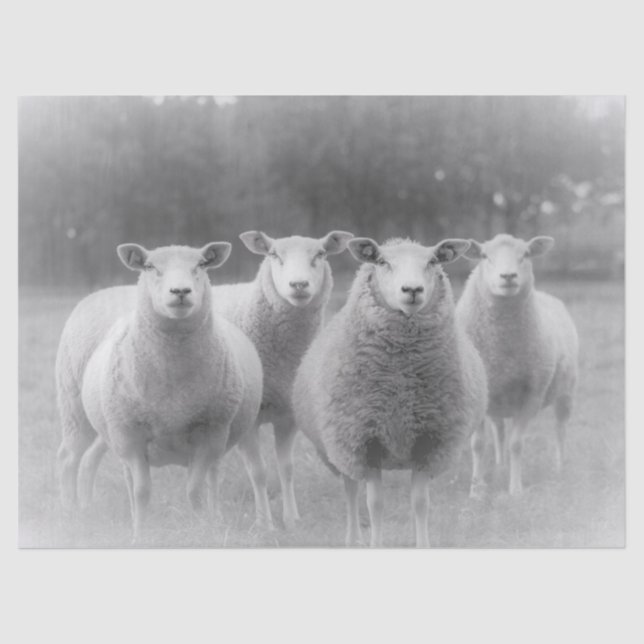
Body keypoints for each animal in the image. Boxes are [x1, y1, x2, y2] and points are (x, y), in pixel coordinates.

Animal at [56, 242, 268, 542]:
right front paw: (139, 537)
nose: (180, 291)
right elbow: (142, 491)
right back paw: (70, 512)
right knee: (70, 458)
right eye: (149, 267)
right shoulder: (130, 436)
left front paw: (202, 531)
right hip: (77, 410)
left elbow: (194, 491)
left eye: (201, 265)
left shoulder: (210, 434)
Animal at [210, 230, 354, 529]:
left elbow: (286, 469)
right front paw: (265, 523)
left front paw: (291, 519)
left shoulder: (288, 416)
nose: (298, 284)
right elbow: (258, 472)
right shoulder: (249, 420)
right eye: (274, 255)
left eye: (321, 254)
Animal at [292, 237, 488, 547]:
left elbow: (420, 503)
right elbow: (375, 504)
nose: (412, 290)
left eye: (433, 261)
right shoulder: (365, 441)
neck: (400, 383)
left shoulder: (428, 441)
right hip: (342, 447)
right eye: (382, 262)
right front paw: (376, 545)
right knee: (351, 491)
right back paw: (353, 539)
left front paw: (423, 545)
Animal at [456, 234, 579, 497]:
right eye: (484, 256)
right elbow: (478, 444)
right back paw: (500, 467)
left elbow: (517, 444)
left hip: (566, 392)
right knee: (499, 430)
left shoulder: (532, 395)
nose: (508, 276)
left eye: (526, 254)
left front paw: (515, 490)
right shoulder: (476, 396)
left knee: (560, 429)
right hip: (496, 400)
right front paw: (476, 490)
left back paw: (560, 467)